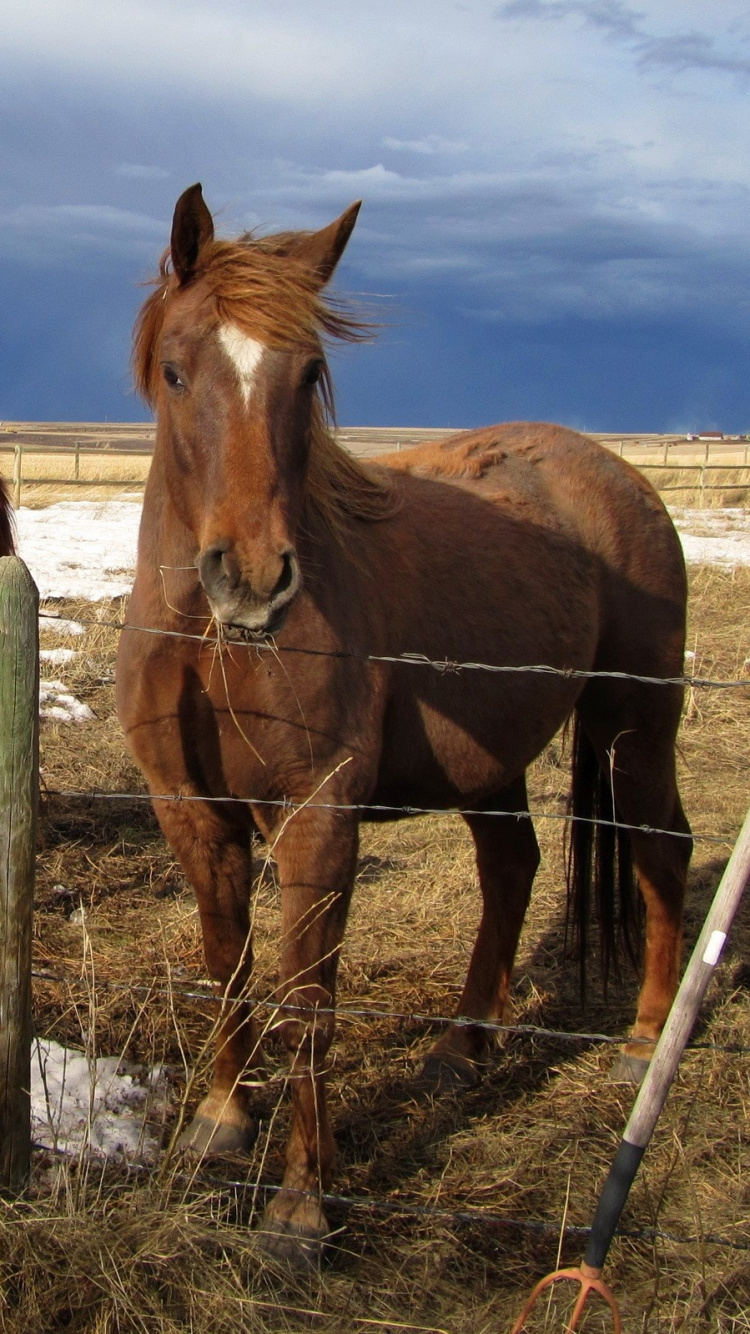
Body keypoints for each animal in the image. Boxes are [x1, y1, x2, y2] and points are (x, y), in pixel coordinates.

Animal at [116, 182, 688, 1264]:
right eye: (175, 369)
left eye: (308, 375)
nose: (253, 578)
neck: (210, 638)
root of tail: (617, 475)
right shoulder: (191, 810)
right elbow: (227, 963)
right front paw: (220, 1119)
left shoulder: (319, 814)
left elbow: (309, 997)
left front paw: (300, 1209)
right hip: (495, 761)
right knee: (512, 869)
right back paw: (462, 1049)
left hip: (636, 726)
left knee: (660, 849)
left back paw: (643, 1044)